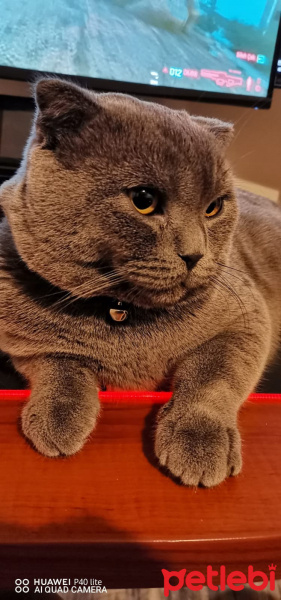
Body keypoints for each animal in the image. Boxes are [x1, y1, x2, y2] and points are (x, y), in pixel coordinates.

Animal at [0, 78, 280, 488]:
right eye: (143, 200)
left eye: (214, 207)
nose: (194, 254)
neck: (122, 312)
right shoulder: (22, 341)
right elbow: (60, 365)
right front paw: (57, 420)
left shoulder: (246, 319)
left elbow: (212, 378)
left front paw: (198, 444)